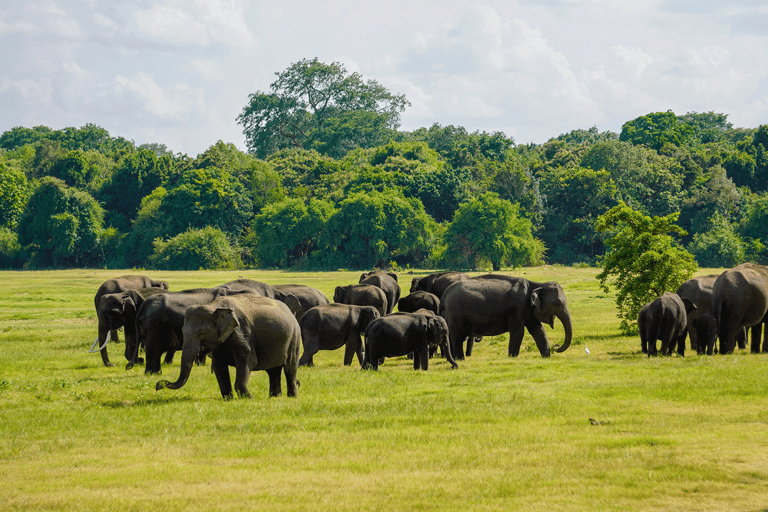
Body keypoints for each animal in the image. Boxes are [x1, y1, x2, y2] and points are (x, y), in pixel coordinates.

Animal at [156, 292, 300, 400]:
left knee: (290, 368)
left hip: (295, 338)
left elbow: (248, 361)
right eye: (182, 330)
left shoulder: (241, 332)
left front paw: (249, 398)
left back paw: (292, 397)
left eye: (201, 332)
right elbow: (219, 366)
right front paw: (228, 399)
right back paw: (275, 397)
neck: (213, 306)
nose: (158, 385)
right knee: (273, 371)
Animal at [440, 276, 572, 360]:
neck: (537, 284)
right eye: (558, 303)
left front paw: (546, 357)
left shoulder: (529, 309)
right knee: (457, 335)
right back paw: (460, 359)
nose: (556, 347)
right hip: (455, 313)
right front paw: (512, 357)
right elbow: (518, 331)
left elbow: (538, 330)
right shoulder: (518, 308)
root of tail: (444, 295)